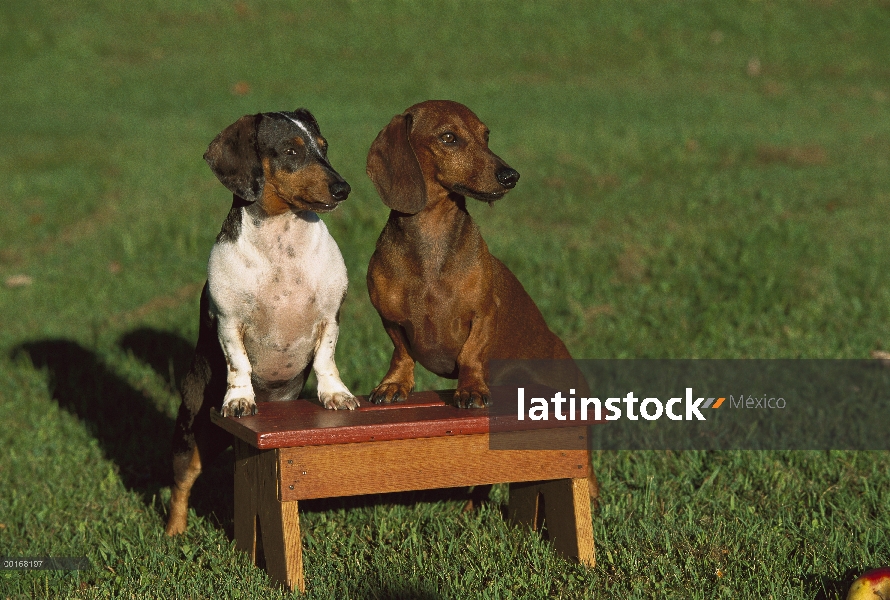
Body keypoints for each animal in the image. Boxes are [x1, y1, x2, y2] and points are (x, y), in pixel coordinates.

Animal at [166, 110, 358, 536]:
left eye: (324, 147)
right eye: (291, 151)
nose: (344, 188)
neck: (282, 242)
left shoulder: (330, 315)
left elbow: (326, 360)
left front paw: (335, 395)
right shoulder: (229, 321)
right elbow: (239, 363)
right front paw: (239, 399)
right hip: (195, 432)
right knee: (181, 483)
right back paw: (173, 533)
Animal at [366, 102, 576, 408]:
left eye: (486, 136)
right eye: (448, 137)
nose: (510, 176)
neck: (432, 236)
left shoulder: (484, 314)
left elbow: (471, 353)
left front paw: (471, 388)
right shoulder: (391, 319)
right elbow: (402, 353)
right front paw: (394, 383)